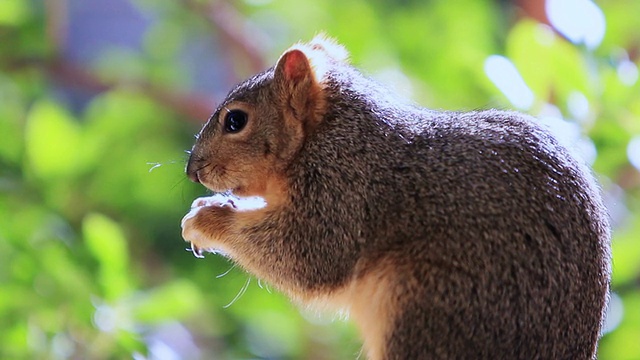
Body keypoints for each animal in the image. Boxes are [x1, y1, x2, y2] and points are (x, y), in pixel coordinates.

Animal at [180, 37, 608, 360]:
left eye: (236, 121)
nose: (192, 171)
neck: (332, 133)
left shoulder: (344, 190)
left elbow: (308, 256)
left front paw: (207, 220)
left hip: (429, 308)